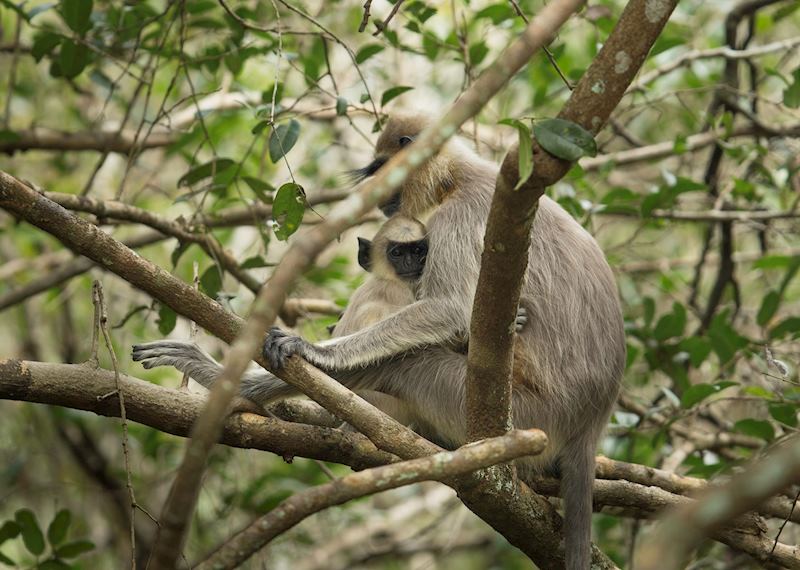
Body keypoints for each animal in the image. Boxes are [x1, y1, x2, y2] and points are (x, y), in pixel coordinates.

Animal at [132, 115, 625, 569]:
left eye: (382, 166)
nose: (379, 188)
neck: (460, 177)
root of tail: (591, 417)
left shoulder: (462, 214)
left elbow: (448, 307)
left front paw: (316, 351)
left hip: (524, 413)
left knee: (401, 365)